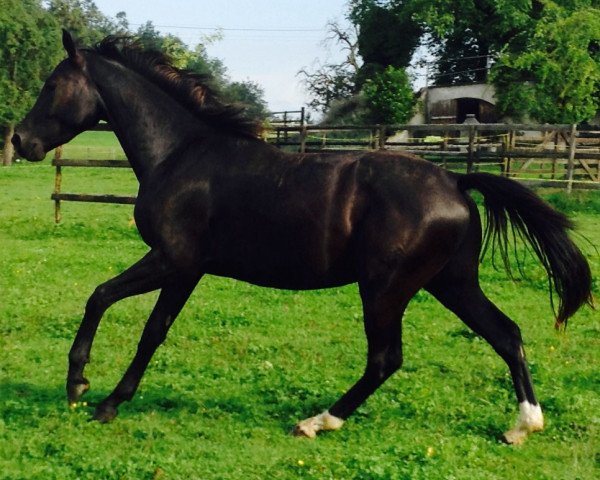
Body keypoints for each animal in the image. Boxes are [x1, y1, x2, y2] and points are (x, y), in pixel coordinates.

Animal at [12, 31, 592, 444]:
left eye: (51, 85)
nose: (20, 140)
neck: (180, 154)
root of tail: (455, 180)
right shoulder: (187, 269)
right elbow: (153, 331)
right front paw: (111, 399)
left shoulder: (171, 258)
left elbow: (101, 298)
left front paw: (81, 388)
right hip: (450, 282)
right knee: (506, 333)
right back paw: (522, 427)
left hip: (386, 289)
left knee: (386, 359)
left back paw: (317, 422)